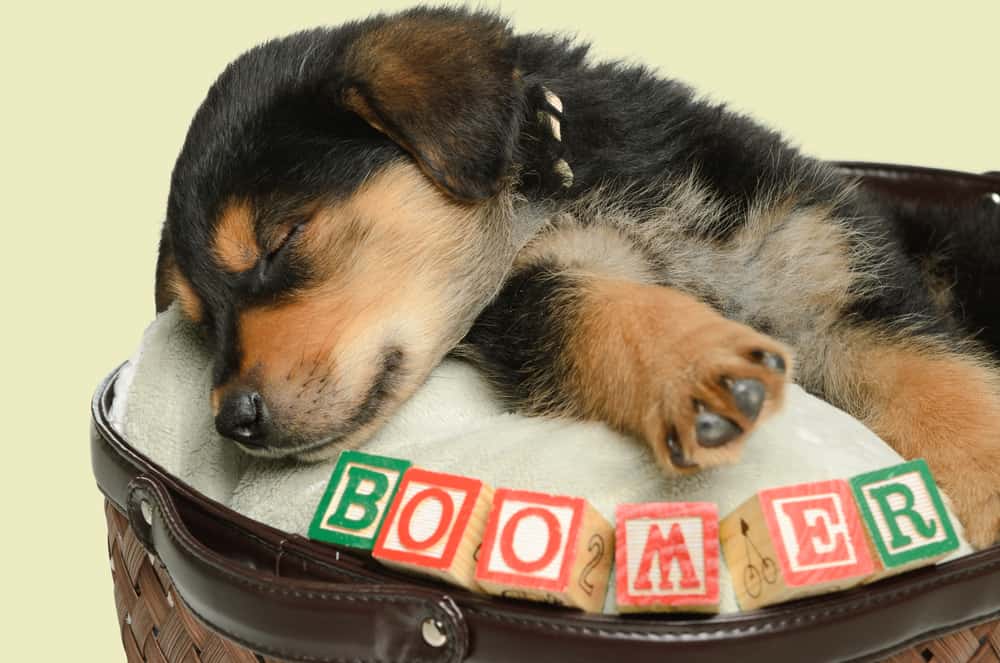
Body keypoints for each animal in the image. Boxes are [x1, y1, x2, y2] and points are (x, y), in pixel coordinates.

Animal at [156, 7, 1000, 548]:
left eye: (281, 239)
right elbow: (602, 310)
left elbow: (942, 385)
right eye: (200, 321)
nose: (232, 419)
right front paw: (692, 366)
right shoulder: (526, 303)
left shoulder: (834, 273)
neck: (563, 192)